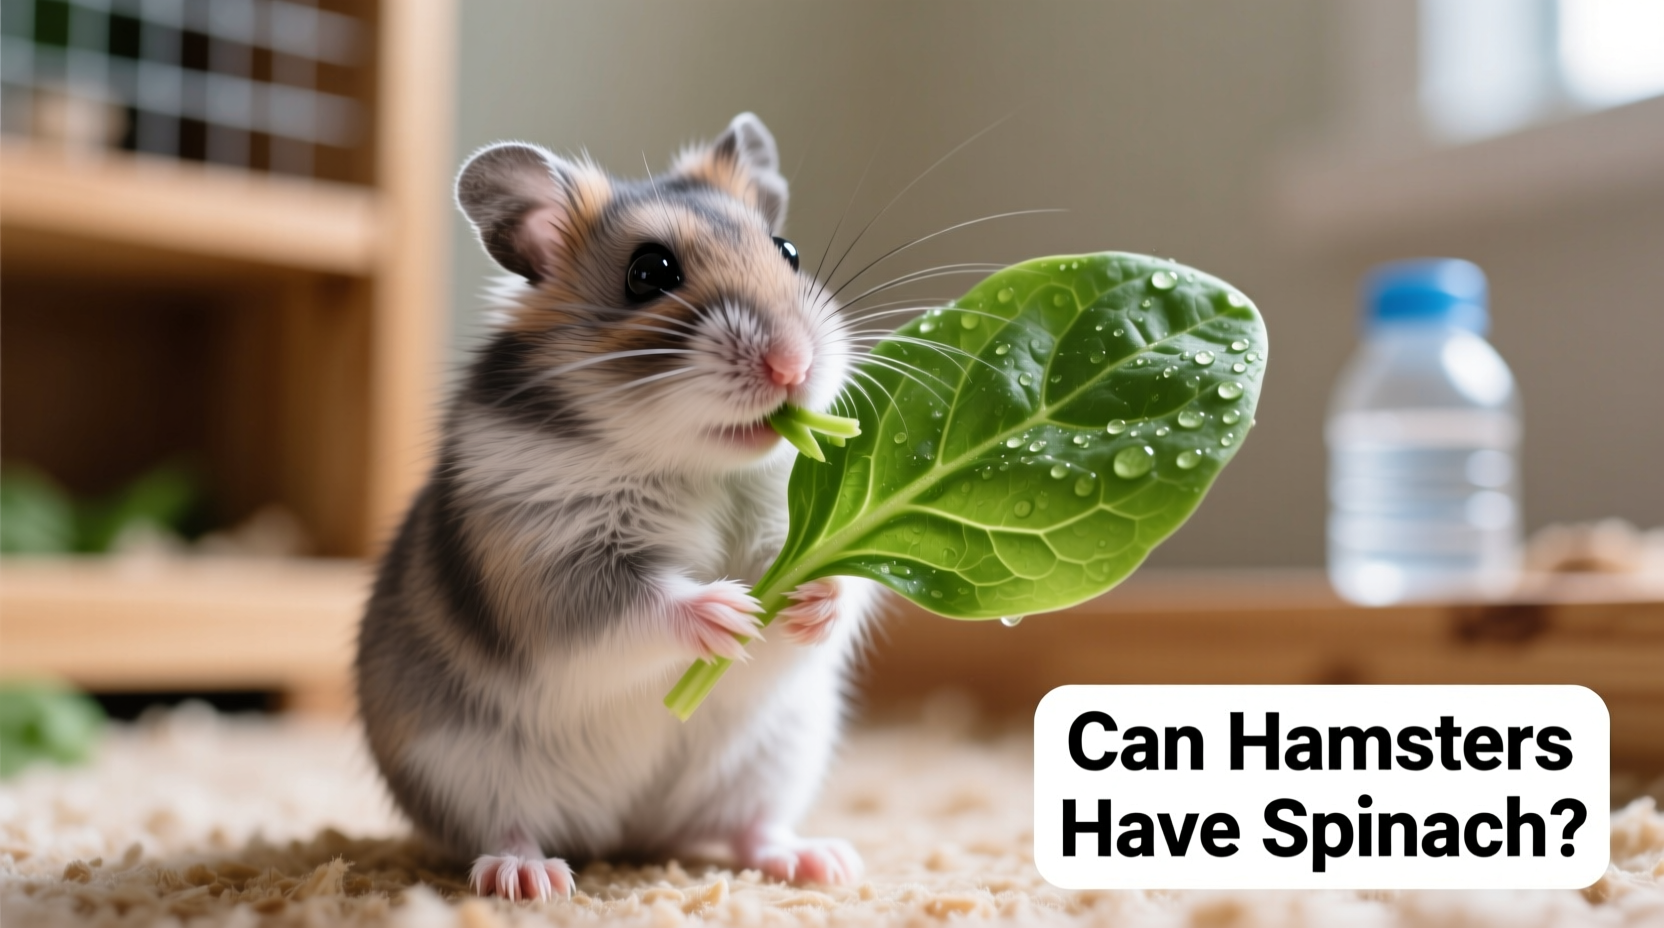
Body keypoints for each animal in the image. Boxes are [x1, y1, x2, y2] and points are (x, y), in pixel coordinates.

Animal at [355, 113, 880, 902]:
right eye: (649, 273)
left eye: (787, 251)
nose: (794, 365)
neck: (696, 467)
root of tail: (627, 831)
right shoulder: (550, 569)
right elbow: (636, 604)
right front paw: (732, 611)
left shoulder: (796, 528)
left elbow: (843, 580)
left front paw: (807, 602)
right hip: (463, 766)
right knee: (507, 827)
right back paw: (529, 878)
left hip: (778, 755)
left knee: (749, 827)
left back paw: (821, 861)